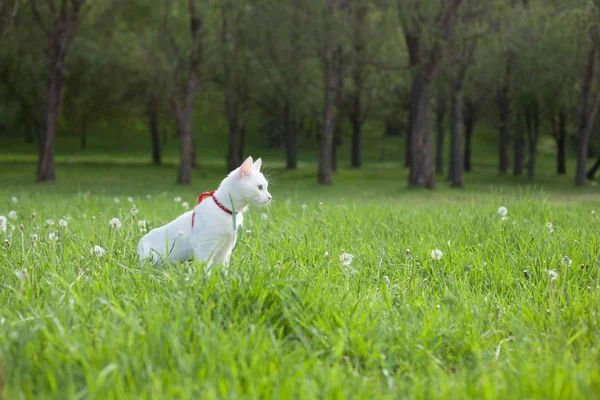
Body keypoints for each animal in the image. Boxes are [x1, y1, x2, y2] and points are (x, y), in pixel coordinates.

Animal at [137, 155, 270, 270]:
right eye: (260, 187)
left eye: (266, 187)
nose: (270, 197)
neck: (225, 210)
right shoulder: (205, 248)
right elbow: (206, 269)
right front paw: (207, 279)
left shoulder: (226, 248)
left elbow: (223, 269)